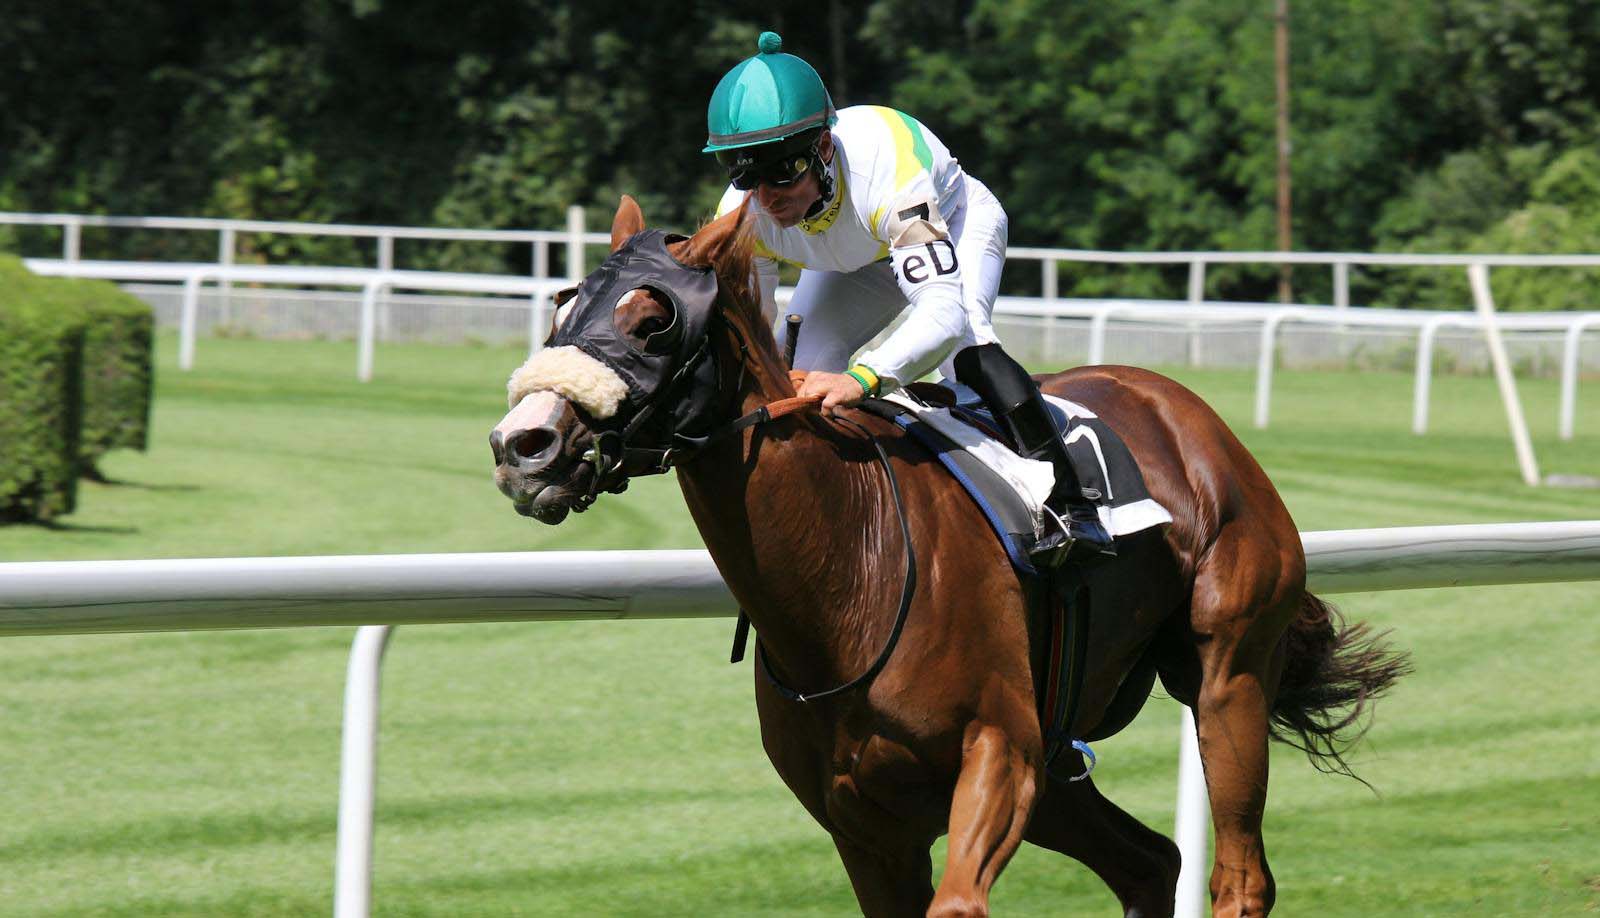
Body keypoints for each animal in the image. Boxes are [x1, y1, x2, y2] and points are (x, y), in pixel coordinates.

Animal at [490, 196, 1408, 917]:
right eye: (563, 308)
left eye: (652, 323)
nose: (523, 446)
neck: (849, 575)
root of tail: (1185, 409)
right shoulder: (867, 824)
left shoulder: (999, 753)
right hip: (1063, 765)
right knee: (1153, 863)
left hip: (1226, 676)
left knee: (1239, 876)